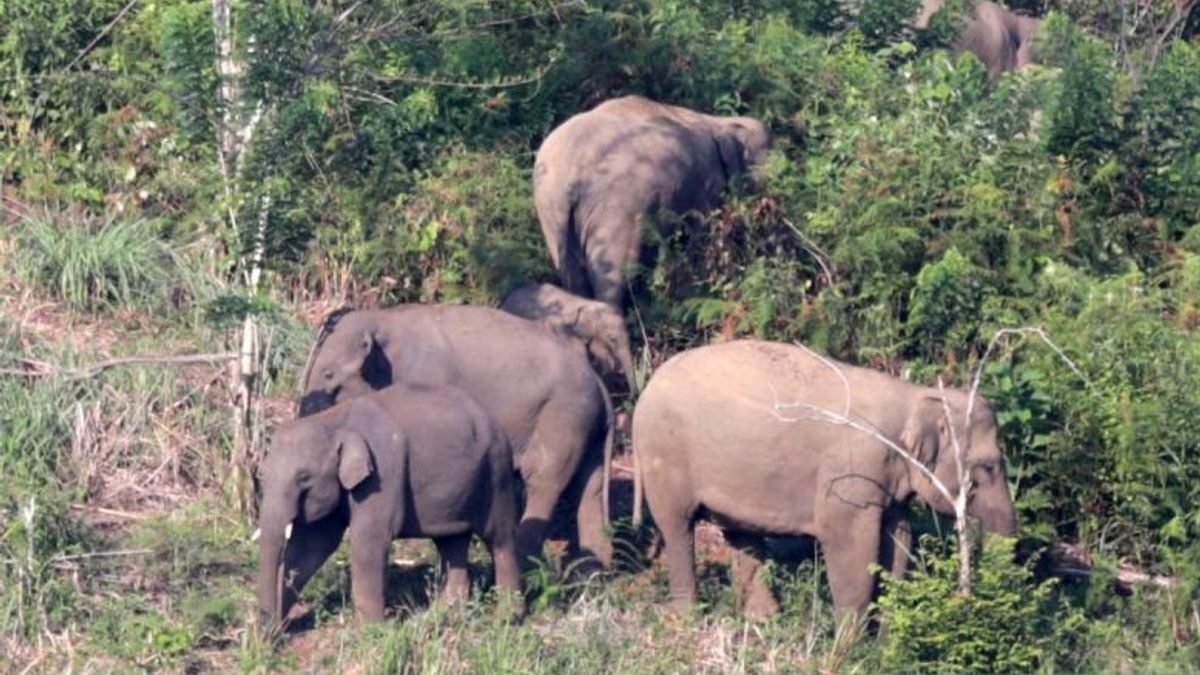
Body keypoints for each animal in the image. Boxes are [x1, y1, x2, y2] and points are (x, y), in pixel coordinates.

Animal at [257, 381, 521, 625]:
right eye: (263, 475)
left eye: (303, 478)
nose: (268, 633)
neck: (335, 421)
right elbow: (313, 545)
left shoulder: (382, 474)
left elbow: (369, 540)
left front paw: (371, 631)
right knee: (452, 541)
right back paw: (443, 614)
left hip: (496, 472)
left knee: (499, 538)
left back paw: (507, 618)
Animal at [298, 304, 614, 570]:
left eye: (328, 375)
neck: (382, 319)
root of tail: (602, 386)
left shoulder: (425, 377)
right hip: (586, 426)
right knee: (590, 489)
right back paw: (594, 573)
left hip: (562, 417)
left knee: (543, 481)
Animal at [534, 95, 771, 308]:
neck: (718, 121)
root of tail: (570, 175)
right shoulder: (707, 185)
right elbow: (701, 234)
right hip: (615, 209)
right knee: (614, 274)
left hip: (551, 212)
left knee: (572, 276)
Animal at [631, 340, 1017, 623]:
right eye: (987, 468)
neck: (913, 396)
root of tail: (646, 388)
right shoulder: (850, 471)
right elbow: (850, 545)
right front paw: (849, 649)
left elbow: (898, 540)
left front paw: (883, 642)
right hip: (663, 455)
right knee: (677, 527)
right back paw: (687, 619)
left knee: (742, 535)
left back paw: (763, 620)